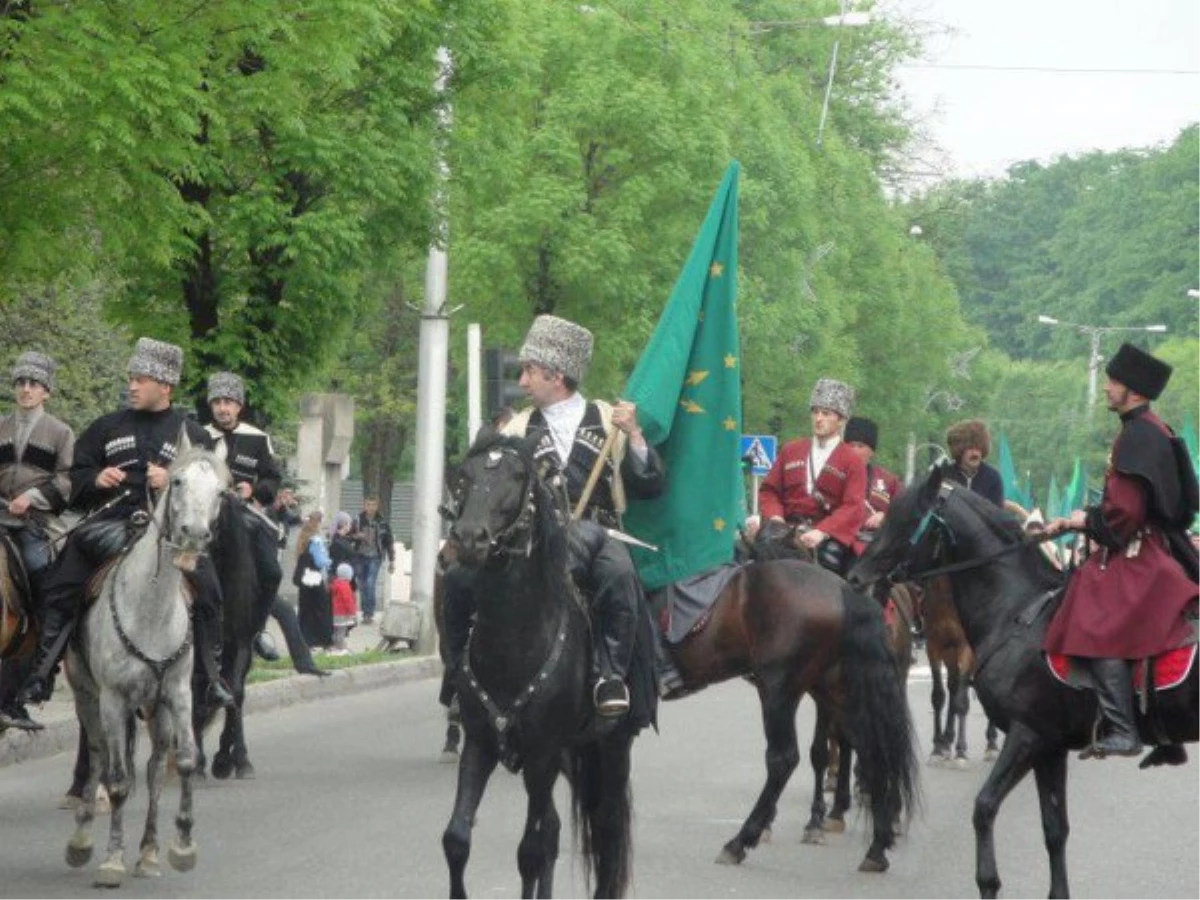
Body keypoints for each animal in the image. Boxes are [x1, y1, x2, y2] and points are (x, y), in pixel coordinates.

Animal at [66, 451, 231, 888]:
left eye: (220, 491)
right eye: (177, 481)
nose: (194, 535)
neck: (152, 608)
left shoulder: (178, 693)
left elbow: (185, 760)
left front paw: (182, 846)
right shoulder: (112, 699)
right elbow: (118, 780)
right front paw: (111, 860)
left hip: (157, 710)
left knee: (156, 769)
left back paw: (149, 852)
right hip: (87, 698)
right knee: (97, 758)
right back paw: (82, 838)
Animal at [444, 434, 648, 897]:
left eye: (518, 476)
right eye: (465, 476)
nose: (469, 539)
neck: (512, 646)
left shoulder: (541, 752)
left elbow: (530, 852)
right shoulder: (481, 743)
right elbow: (457, 839)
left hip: (610, 746)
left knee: (607, 833)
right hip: (571, 755)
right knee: (557, 828)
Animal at [844, 465, 1200, 900]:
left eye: (909, 518)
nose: (856, 578)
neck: (1017, 611)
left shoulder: (1027, 735)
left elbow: (984, 808)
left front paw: (988, 883)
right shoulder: (1052, 747)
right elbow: (1055, 829)